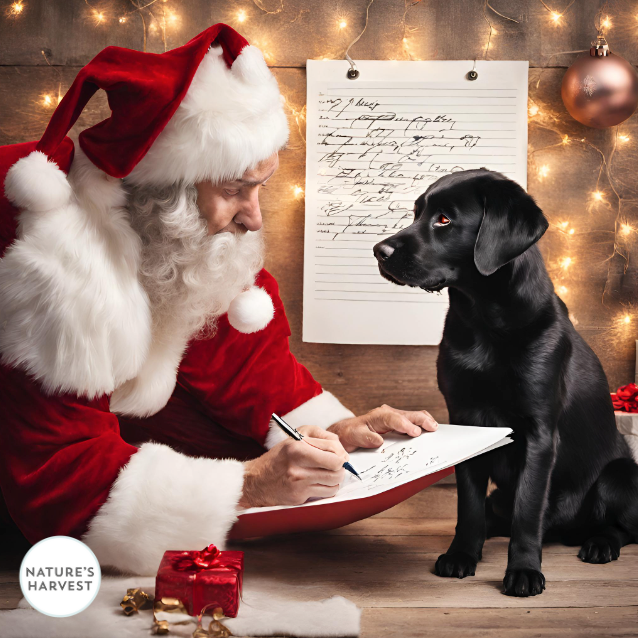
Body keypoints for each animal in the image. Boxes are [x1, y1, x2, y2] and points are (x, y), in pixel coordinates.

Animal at [372, 170, 638, 600]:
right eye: (417, 213)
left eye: (444, 219)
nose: (379, 250)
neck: (485, 319)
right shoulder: (468, 421)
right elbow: (469, 506)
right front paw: (462, 555)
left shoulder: (539, 433)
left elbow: (527, 512)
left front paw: (524, 571)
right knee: (494, 512)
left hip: (620, 477)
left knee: (621, 528)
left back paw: (599, 544)